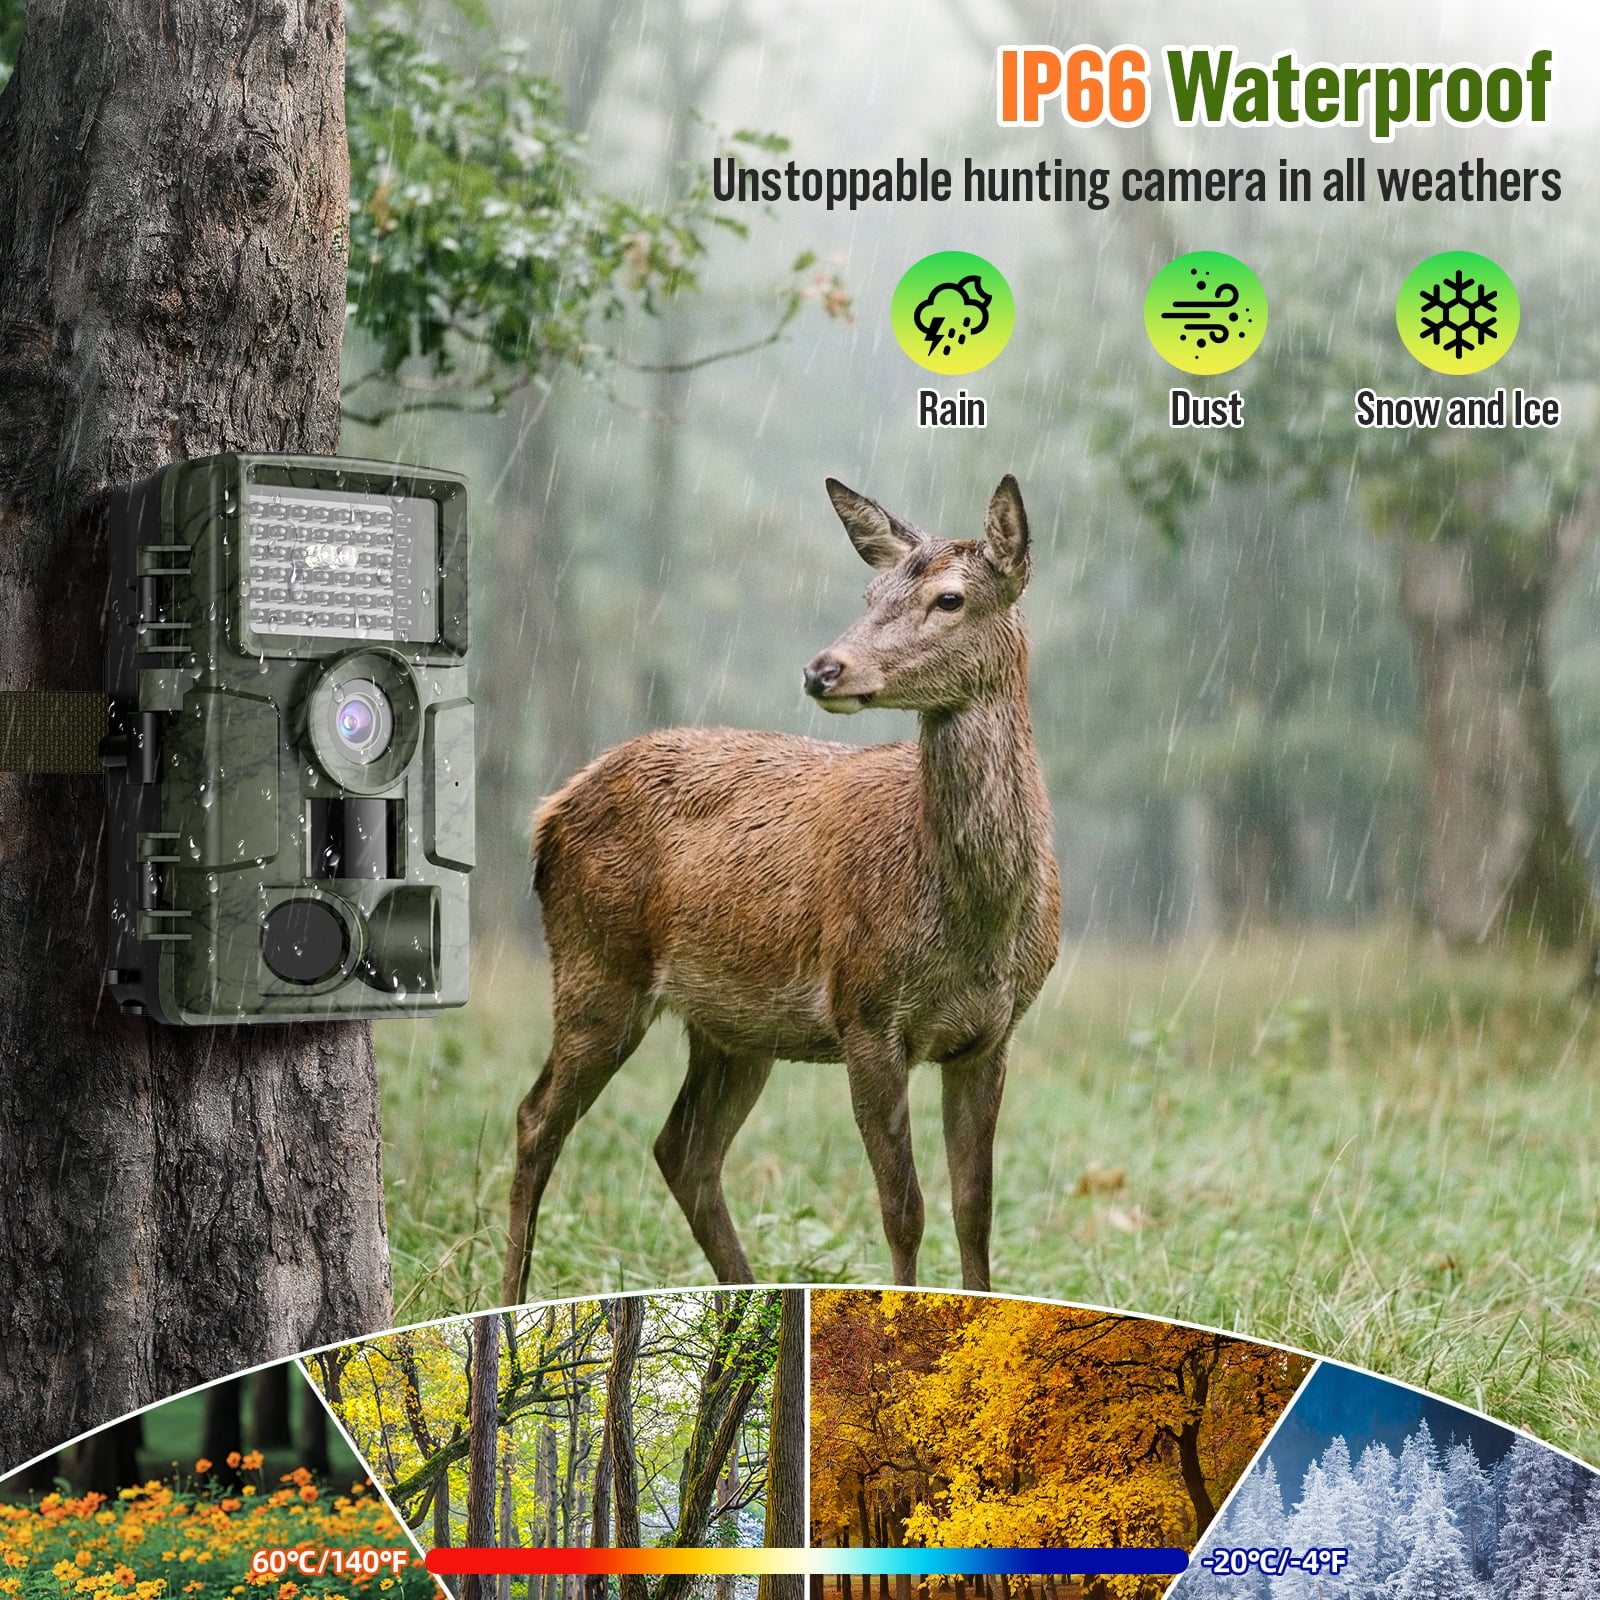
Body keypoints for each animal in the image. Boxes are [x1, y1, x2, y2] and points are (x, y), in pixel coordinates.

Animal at [502, 474, 1061, 1302]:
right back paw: (506, 1298)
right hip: (596, 966)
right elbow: (904, 1210)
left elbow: (975, 1209)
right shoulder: (865, 1011)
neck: (977, 923)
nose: (822, 669)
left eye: (950, 598)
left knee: (683, 1148)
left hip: (733, 1026)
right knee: (537, 1118)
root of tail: (547, 815)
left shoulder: (992, 1032)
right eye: (869, 591)